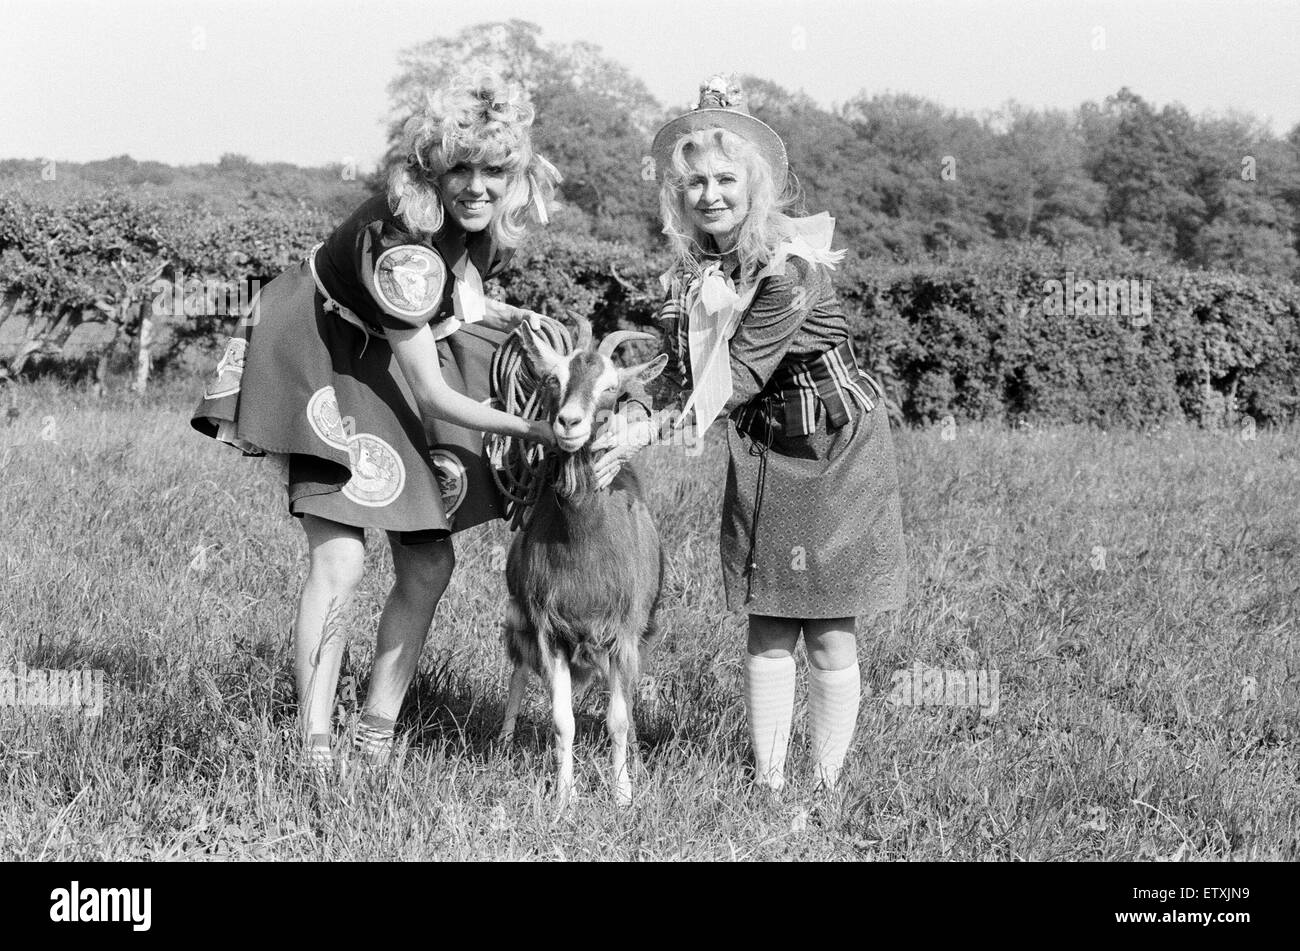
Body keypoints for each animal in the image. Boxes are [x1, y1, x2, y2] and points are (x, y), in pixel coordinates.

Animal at [499, 315, 670, 805]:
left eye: (612, 388)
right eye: (554, 379)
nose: (569, 422)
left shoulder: (624, 634)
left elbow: (618, 719)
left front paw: (623, 794)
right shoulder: (549, 629)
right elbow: (563, 720)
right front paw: (564, 797)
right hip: (521, 621)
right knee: (520, 672)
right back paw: (504, 741)